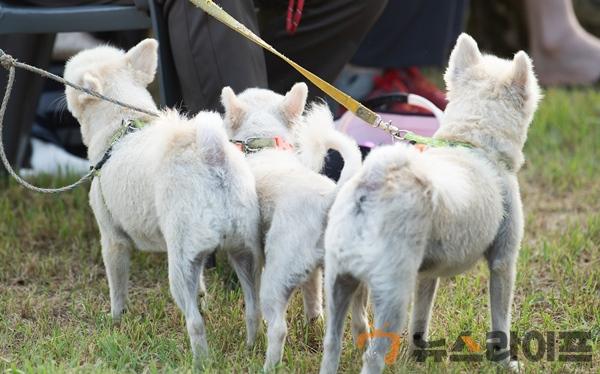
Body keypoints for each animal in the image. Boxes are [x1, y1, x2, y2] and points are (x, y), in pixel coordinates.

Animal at [63, 40, 262, 362]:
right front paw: (205, 299)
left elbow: (117, 287)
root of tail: (211, 154)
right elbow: (202, 288)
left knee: (194, 322)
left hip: (180, 264)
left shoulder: (113, 240)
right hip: (242, 250)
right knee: (254, 310)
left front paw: (115, 321)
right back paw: (250, 348)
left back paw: (201, 361)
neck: (120, 124)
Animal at [220, 83, 360, 370]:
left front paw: (249, 344)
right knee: (363, 327)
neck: (263, 146)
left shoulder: (246, 258)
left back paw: (267, 366)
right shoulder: (313, 274)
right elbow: (313, 304)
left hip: (275, 278)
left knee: (277, 328)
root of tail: (330, 199)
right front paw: (312, 331)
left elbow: (252, 310)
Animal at [322, 32, 540, 374]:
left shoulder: (428, 274)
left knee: (332, 343)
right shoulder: (503, 262)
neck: (474, 144)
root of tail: (372, 185)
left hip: (338, 281)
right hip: (391, 293)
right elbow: (501, 320)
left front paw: (419, 353)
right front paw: (504, 362)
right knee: (373, 355)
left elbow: (421, 318)